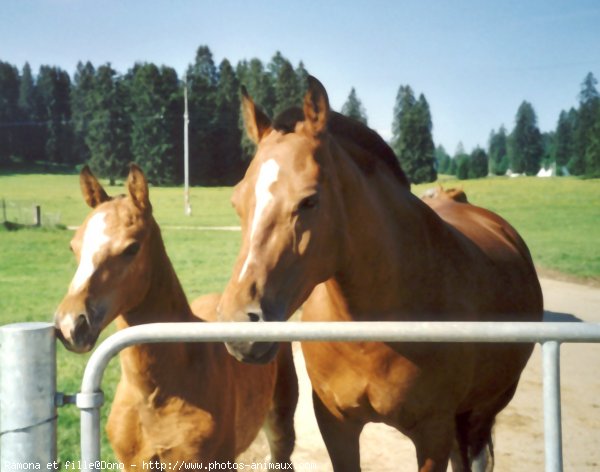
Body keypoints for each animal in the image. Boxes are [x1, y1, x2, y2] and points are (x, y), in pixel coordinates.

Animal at [217, 75, 544, 470]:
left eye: (310, 200)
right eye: (236, 201)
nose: (239, 327)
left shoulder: (432, 433)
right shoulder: (335, 424)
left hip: (480, 411)